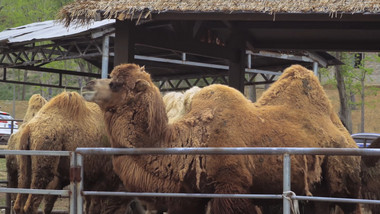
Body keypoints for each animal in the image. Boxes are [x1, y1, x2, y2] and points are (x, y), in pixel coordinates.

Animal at [81, 63, 360, 214]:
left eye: (116, 83)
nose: (87, 85)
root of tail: (348, 136)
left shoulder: (231, 189)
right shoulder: (189, 195)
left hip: (345, 183)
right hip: (314, 188)